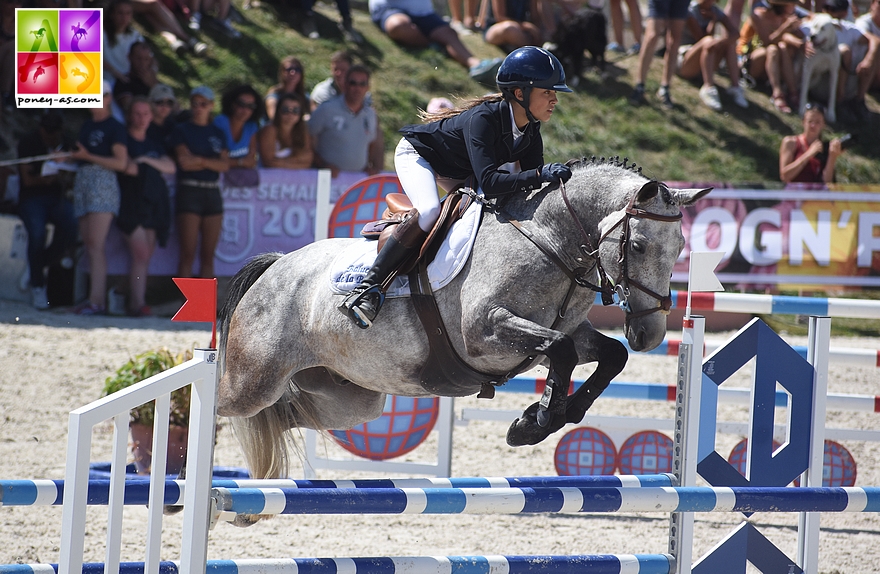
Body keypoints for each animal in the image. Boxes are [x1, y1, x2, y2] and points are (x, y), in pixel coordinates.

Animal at [217, 160, 712, 488]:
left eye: (681, 247)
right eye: (641, 246)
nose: (650, 334)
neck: (549, 241)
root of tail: (278, 265)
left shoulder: (562, 333)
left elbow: (608, 355)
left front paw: (545, 418)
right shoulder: (486, 333)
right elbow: (562, 352)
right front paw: (536, 420)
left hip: (351, 398)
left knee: (284, 416)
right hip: (254, 381)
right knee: (225, 406)